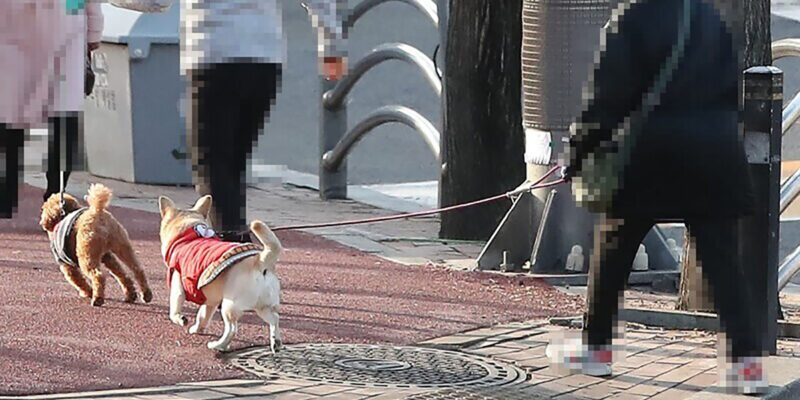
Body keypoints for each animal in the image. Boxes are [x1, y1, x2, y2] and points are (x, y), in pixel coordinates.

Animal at [157, 195, 283, 352]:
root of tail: (260, 261)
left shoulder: (178, 288)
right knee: (274, 319)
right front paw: (197, 329)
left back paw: (218, 345)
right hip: (263, 307)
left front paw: (181, 320)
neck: (190, 233)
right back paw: (275, 342)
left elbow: (174, 311)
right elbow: (202, 316)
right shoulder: (210, 301)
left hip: (229, 306)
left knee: (232, 329)